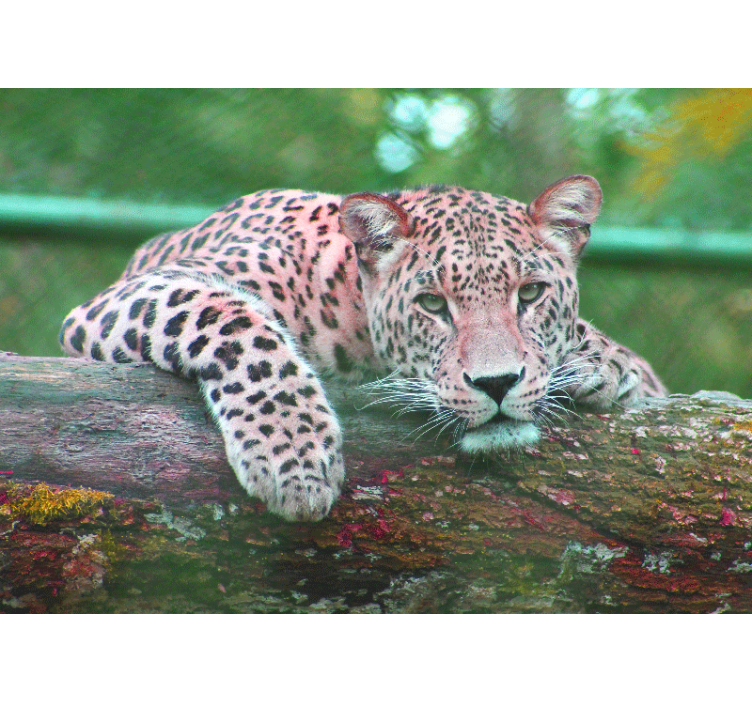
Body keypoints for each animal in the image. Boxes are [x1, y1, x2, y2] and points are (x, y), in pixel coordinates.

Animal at [60, 174, 667, 522]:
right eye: (432, 304)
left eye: (532, 294)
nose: (496, 384)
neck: (348, 302)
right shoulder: (131, 295)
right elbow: (235, 322)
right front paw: (294, 457)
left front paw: (606, 363)